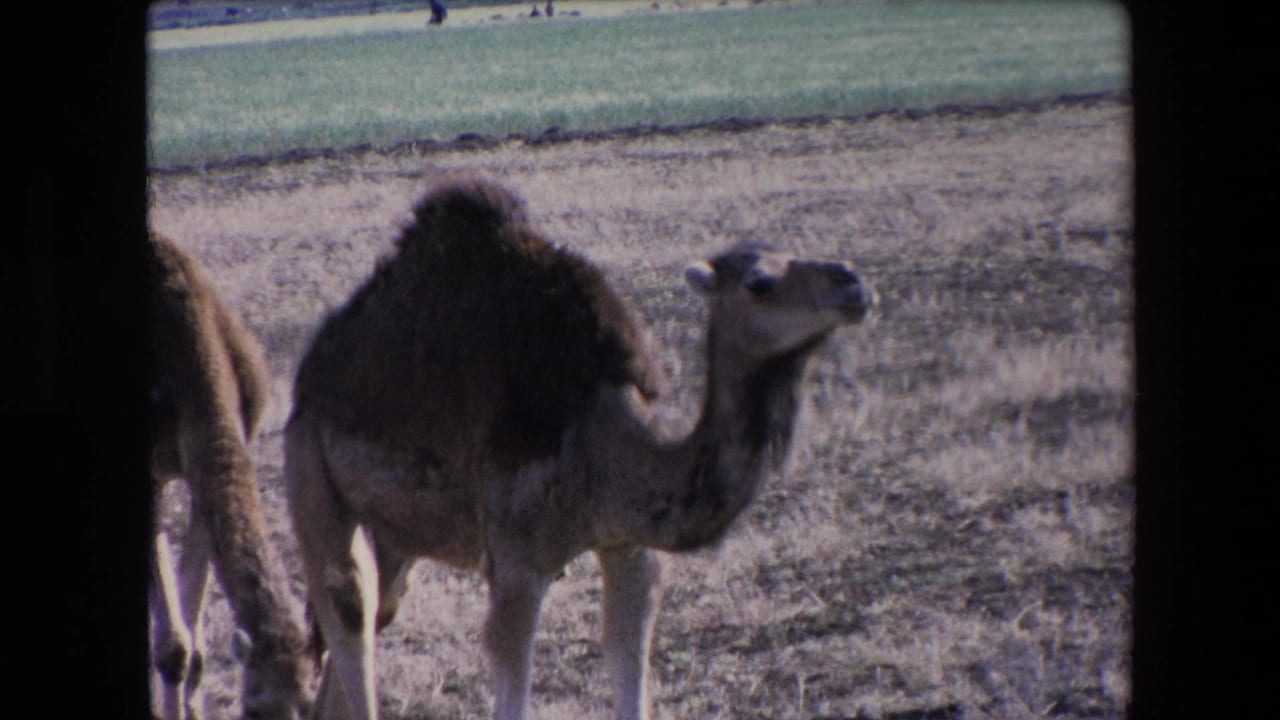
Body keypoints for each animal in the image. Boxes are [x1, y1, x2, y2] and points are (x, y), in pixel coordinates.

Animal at [148, 232, 316, 719]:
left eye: (312, 702)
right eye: (253, 707)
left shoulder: (198, 473)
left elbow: (194, 642)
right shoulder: (150, 472)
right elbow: (173, 646)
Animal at [283, 178, 875, 720]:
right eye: (759, 282)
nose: (853, 283)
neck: (601, 438)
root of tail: (313, 371)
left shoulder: (630, 549)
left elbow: (629, 669)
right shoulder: (517, 564)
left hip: (397, 535)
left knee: (371, 617)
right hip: (308, 469)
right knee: (349, 603)